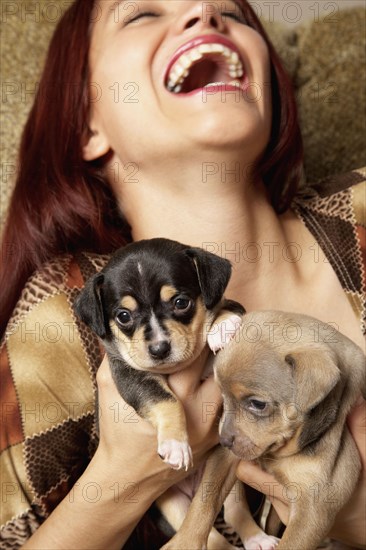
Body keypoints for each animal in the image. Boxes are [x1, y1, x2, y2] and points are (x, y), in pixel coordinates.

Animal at [74, 239, 243, 472]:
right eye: (123, 316)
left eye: (181, 302)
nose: (159, 349)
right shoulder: (131, 375)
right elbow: (165, 399)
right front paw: (176, 445)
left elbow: (229, 306)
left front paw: (222, 327)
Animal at [164, 312, 366, 548]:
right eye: (222, 396)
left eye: (258, 404)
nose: (223, 441)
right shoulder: (225, 459)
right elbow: (205, 499)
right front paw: (184, 542)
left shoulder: (315, 507)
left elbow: (291, 544)